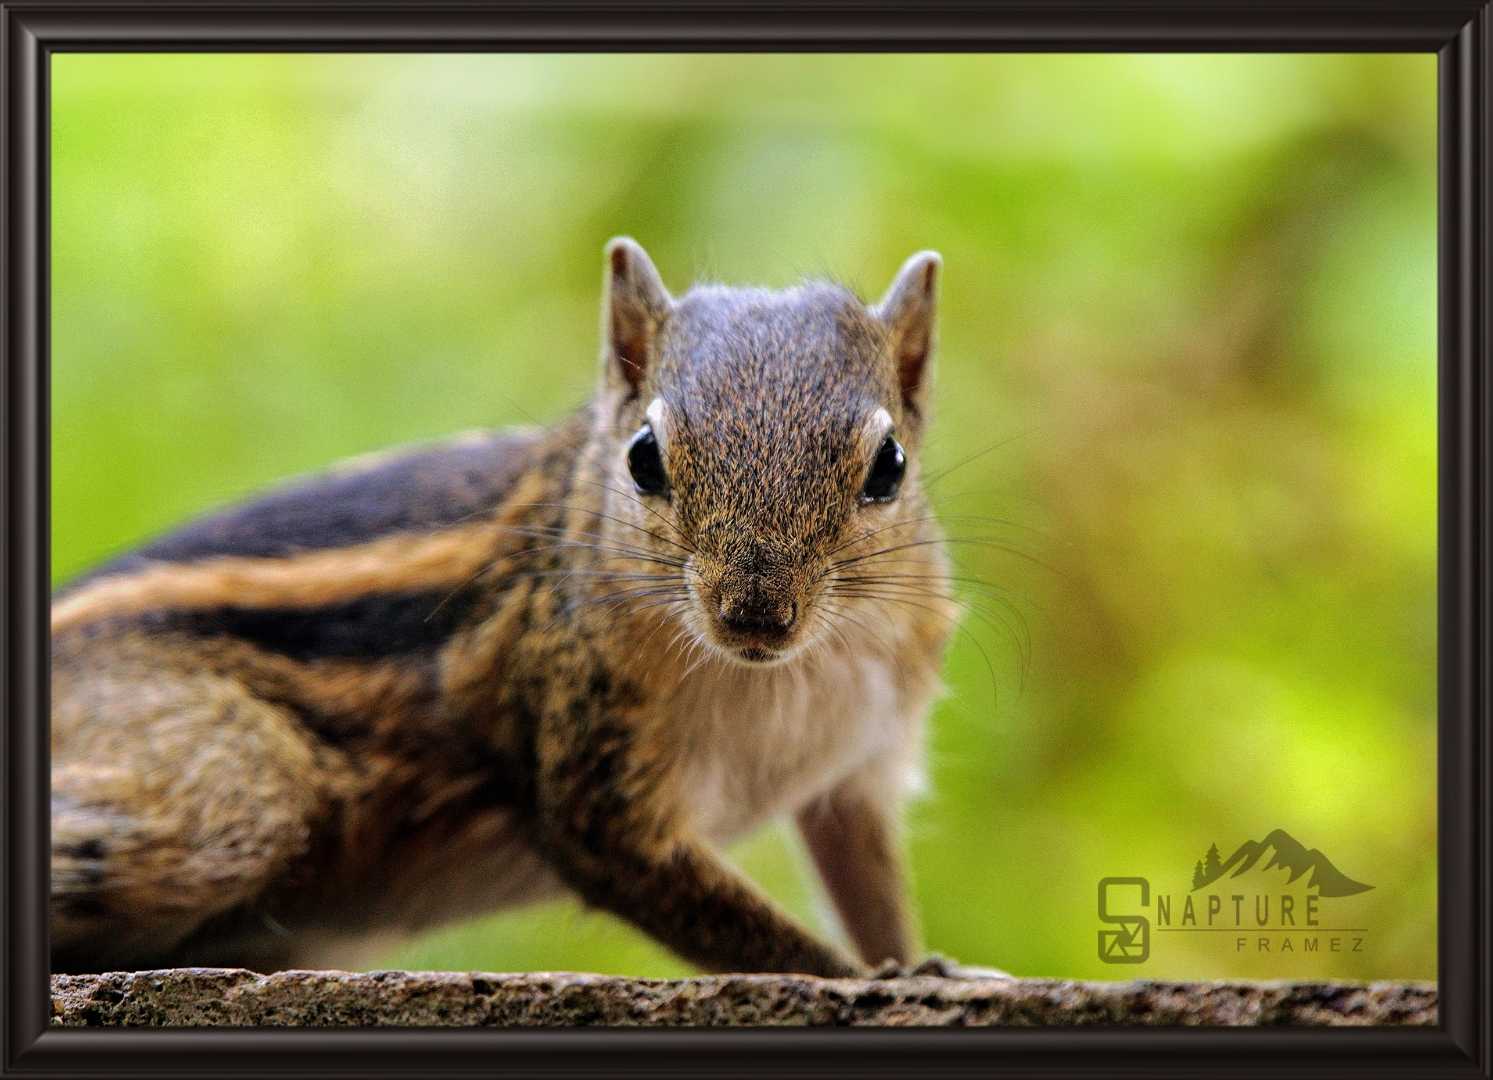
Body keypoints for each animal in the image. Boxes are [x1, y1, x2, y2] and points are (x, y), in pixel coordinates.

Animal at [49, 239, 958, 978]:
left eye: (889, 464)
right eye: (643, 458)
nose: (756, 615)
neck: (790, 674)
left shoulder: (858, 768)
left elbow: (867, 881)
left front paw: (926, 965)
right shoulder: (592, 770)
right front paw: (869, 981)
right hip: (233, 790)